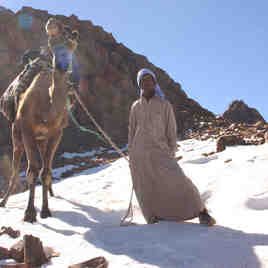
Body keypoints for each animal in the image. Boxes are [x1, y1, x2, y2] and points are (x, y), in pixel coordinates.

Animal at [0, 47, 74, 223]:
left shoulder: (56, 133)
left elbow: (45, 172)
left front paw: (45, 210)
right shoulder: (27, 131)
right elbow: (32, 171)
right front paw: (29, 213)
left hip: (41, 140)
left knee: (46, 166)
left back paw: (52, 192)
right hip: (17, 137)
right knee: (15, 170)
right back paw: (4, 201)